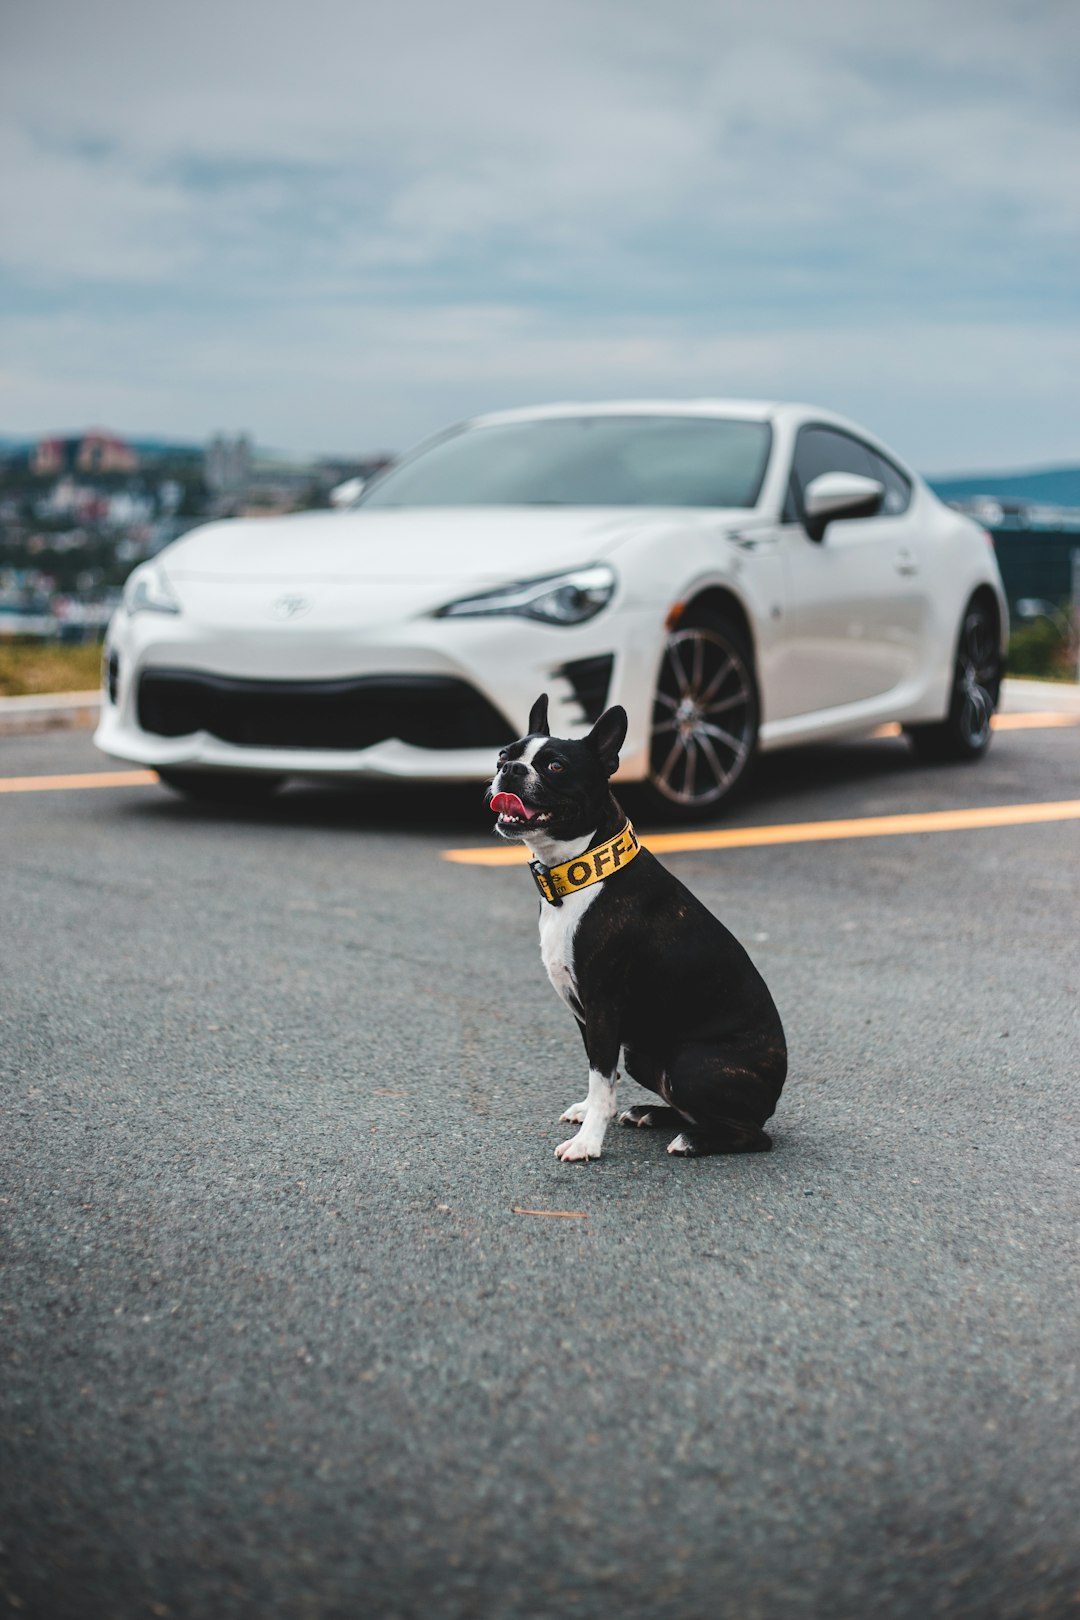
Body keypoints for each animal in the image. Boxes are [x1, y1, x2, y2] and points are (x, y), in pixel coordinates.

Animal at [488, 696, 786, 1166]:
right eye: (503, 755)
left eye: (555, 766)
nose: (511, 770)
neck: (581, 871)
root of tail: (773, 1094)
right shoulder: (588, 1017)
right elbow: (600, 1076)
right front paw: (593, 1114)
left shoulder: (603, 1005)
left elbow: (600, 1076)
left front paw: (588, 1142)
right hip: (643, 1054)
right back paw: (651, 1113)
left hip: (690, 1063)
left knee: (752, 1134)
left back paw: (693, 1141)